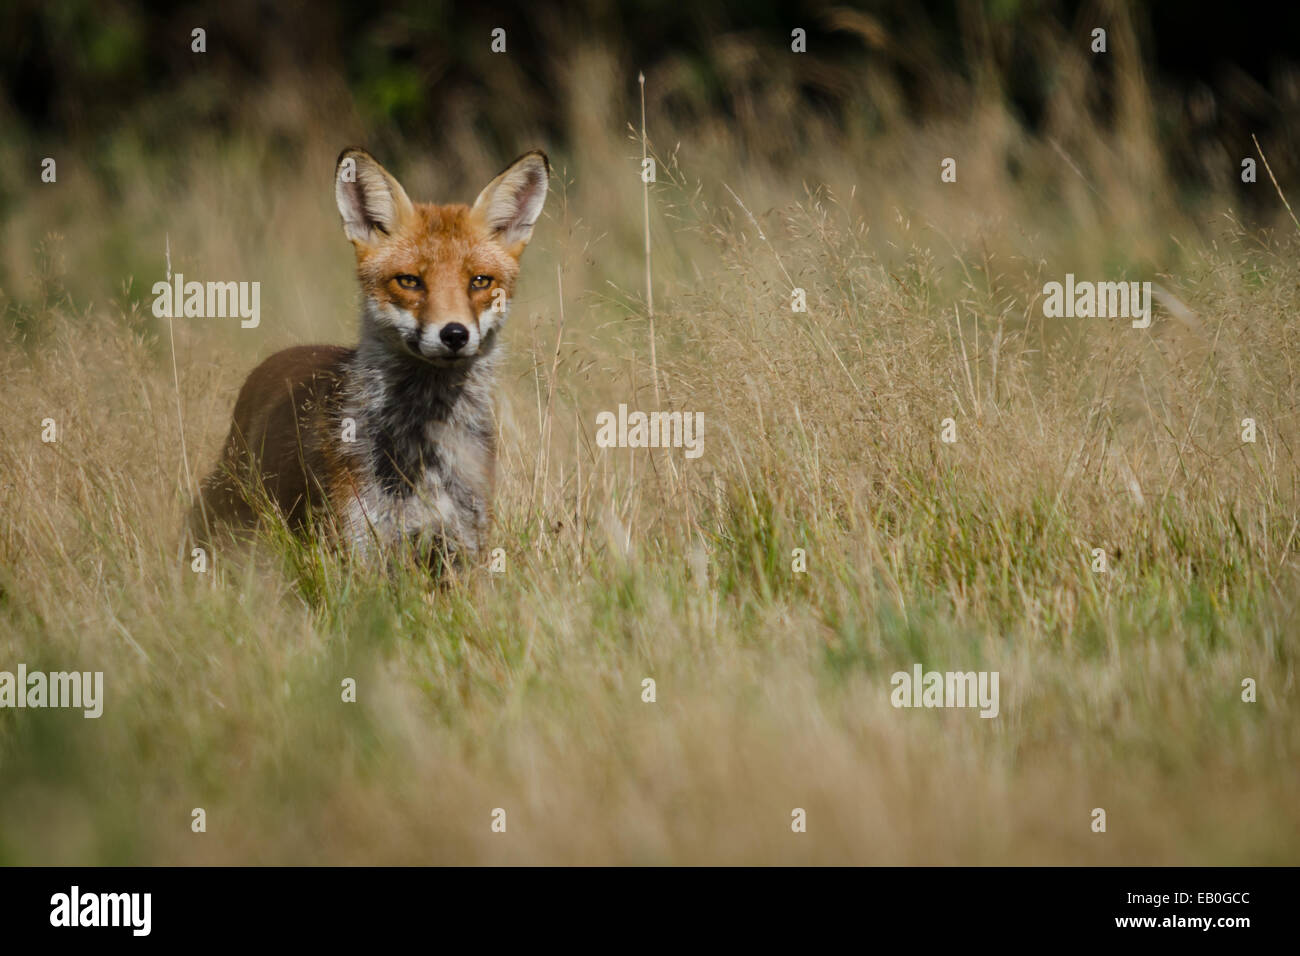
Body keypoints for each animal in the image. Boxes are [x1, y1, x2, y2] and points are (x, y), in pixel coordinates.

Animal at [188, 146, 548, 564]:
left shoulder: (465, 545)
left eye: (479, 281)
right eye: (409, 281)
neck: (423, 445)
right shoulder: (359, 545)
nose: (455, 334)